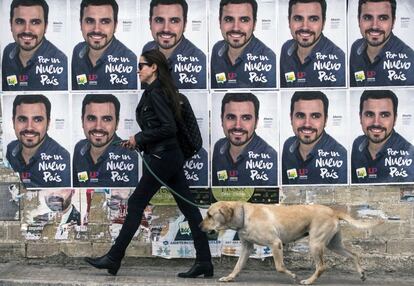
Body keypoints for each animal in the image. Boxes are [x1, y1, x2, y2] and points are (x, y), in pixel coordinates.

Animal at [201, 201, 382, 284]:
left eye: (209, 215)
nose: (198, 226)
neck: (244, 216)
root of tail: (333, 211)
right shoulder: (246, 248)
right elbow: (237, 266)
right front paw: (229, 277)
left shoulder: (276, 243)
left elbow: (280, 267)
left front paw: (294, 276)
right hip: (333, 244)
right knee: (354, 255)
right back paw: (362, 274)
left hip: (315, 244)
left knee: (322, 266)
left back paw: (309, 281)